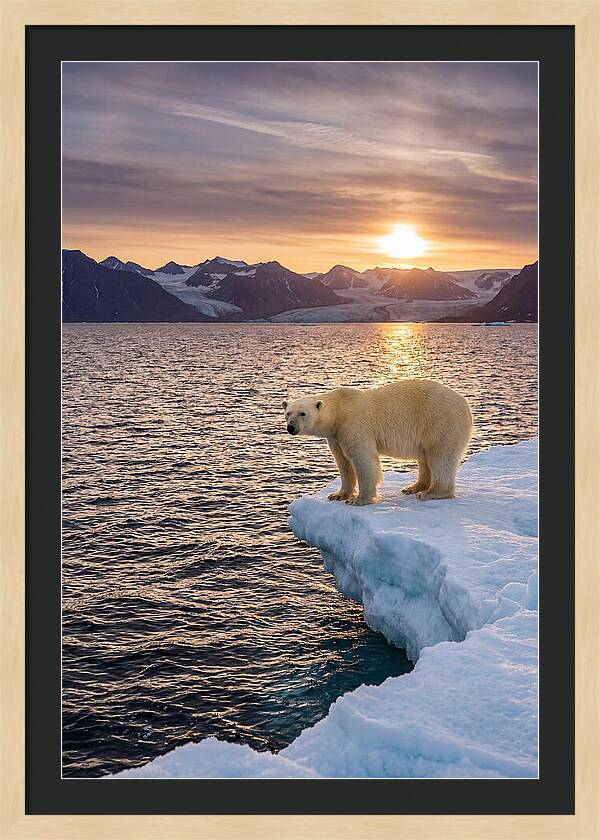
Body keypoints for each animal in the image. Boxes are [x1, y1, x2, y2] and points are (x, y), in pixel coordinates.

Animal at [282, 379, 473, 505]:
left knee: (440, 456)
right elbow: (343, 462)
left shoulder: (354, 425)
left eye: (302, 413)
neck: (340, 410)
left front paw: (359, 499)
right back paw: (413, 487)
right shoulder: (336, 436)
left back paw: (430, 493)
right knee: (425, 458)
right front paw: (338, 495)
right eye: (288, 412)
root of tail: (466, 404)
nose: (291, 427)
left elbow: (363, 459)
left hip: (440, 422)